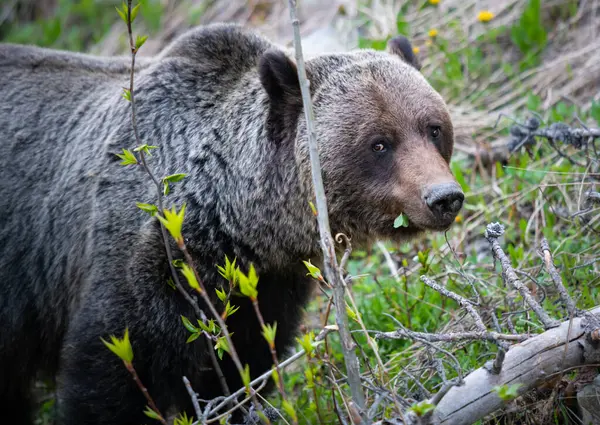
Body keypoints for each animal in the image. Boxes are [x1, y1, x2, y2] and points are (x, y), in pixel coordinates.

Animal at [0, 24, 464, 424]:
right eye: (379, 143)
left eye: (433, 128)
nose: (444, 197)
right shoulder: (144, 265)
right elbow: (112, 374)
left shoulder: (266, 287)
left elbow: (242, 369)